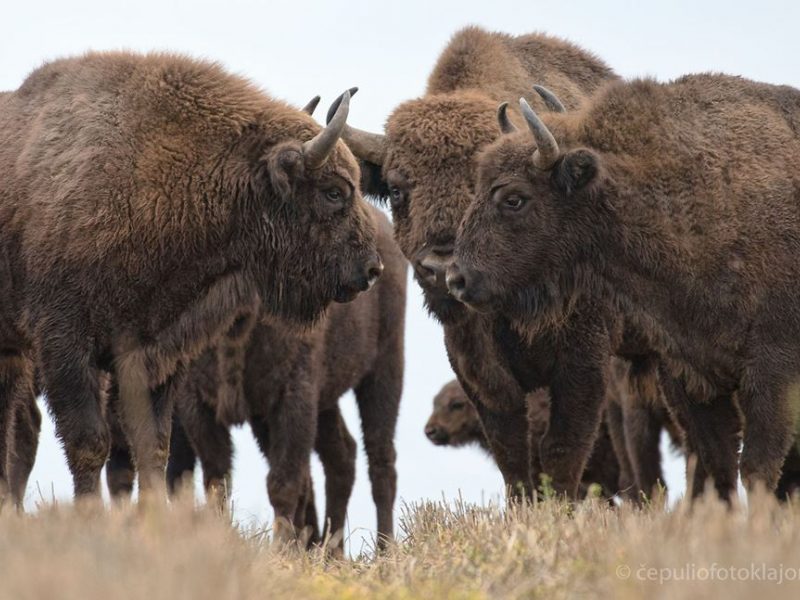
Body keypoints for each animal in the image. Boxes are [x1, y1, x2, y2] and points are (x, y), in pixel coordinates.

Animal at [0, 50, 382, 502]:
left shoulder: (156, 354)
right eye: (333, 191)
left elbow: (152, 447)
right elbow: (89, 443)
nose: (372, 268)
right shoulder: (66, 346)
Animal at [450, 74, 800, 496]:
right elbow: (719, 466)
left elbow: (757, 468)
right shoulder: (691, 376)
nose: (457, 278)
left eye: (514, 198)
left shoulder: (772, 370)